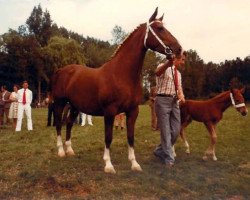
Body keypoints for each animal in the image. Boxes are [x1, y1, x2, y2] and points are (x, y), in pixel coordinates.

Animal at [49, 7, 182, 173]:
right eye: (159, 28)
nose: (179, 49)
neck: (121, 74)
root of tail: (61, 70)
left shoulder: (133, 111)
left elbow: (131, 137)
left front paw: (134, 164)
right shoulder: (110, 111)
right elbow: (108, 137)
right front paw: (108, 165)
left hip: (74, 106)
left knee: (68, 123)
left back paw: (70, 150)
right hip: (60, 103)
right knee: (59, 124)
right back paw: (61, 151)